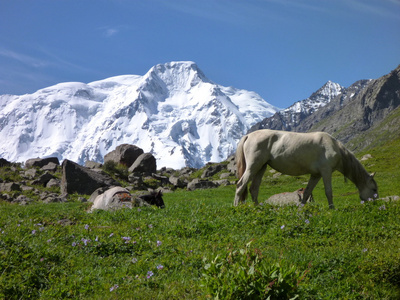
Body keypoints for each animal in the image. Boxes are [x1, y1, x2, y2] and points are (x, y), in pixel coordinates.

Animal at [233, 129, 376, 209]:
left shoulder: (316, 175)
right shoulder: (326, 171)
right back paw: (235, 207)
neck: (335, 147)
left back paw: (257, 207)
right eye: (374, 189)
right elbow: (328, 192)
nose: (375, 203)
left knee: (253, 188)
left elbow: (307, 193)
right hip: (253, 166)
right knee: (240, 185)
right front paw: (332, 208)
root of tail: (248, 136)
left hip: (261, 167)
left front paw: (301, 209)